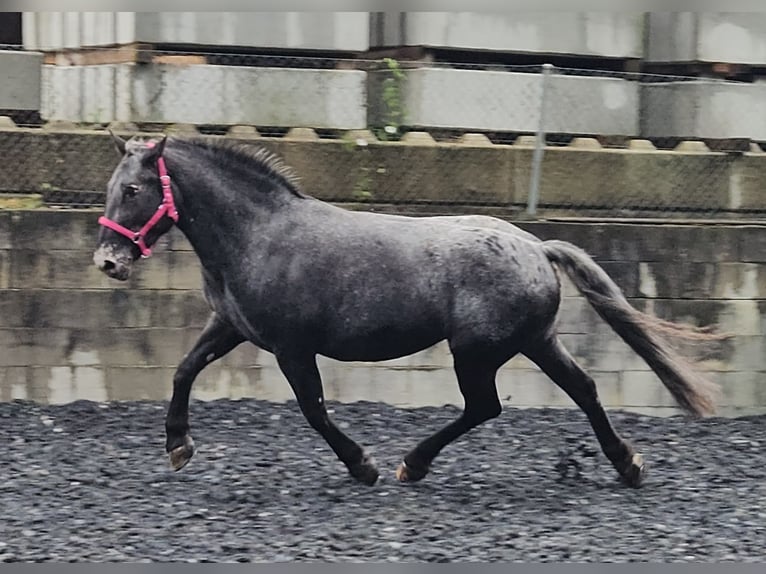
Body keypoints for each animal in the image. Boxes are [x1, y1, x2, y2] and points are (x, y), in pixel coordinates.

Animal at [91, 134, 728, 490]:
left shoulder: (293, 347)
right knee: (584, 389)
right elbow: (183, 371)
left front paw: (364, 467)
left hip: (477, 351)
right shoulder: (231, 328)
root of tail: (536, 247)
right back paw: (628, 466)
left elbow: (314, 411)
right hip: (536, 341)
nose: (107, 262)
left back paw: (411, 464)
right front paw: (178, 447)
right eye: (111, 187)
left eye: (134, 190)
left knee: (485, 406)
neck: (259, 235)